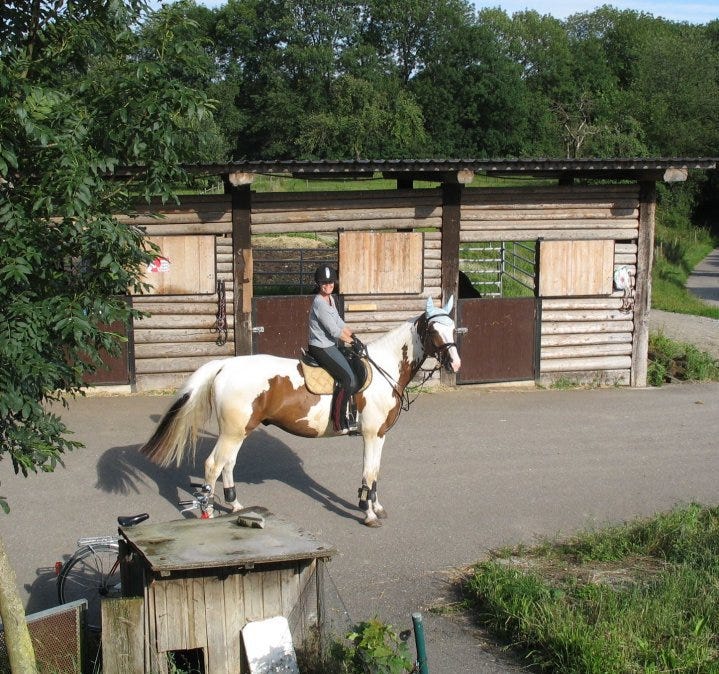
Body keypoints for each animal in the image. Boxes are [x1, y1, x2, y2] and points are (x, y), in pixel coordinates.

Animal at [140, 295, 461, 526]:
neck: (384, 369)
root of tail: (225, 365)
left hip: (238, 431)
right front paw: (368, 513)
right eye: (434, 330)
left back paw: (235, 505)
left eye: (452, 326)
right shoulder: (370, 434)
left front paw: (375, 506)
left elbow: (375, 472)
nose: (455, 363)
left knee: (227, 465)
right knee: (213, 465)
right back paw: (208, 513)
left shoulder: (380, 435)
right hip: (233, 432)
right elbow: (369, 472)